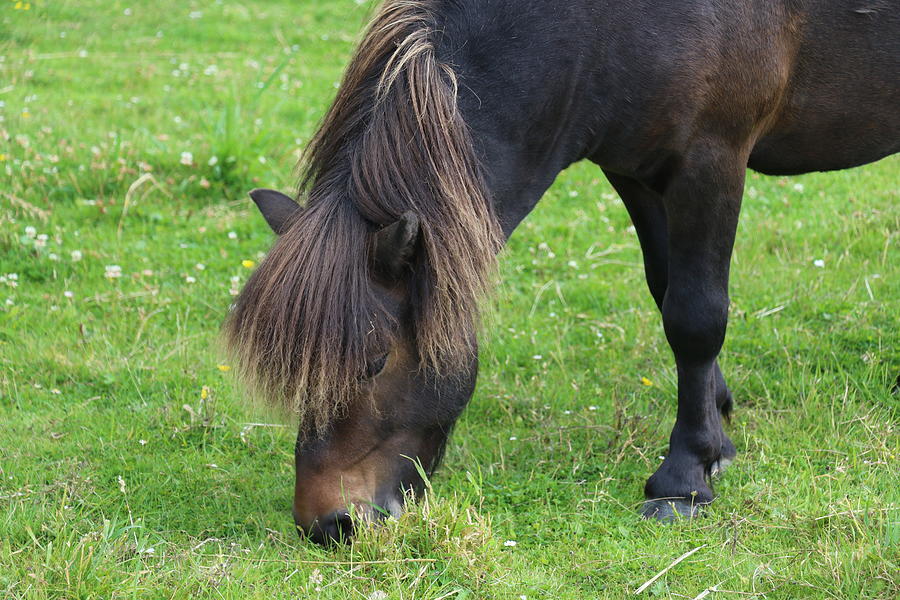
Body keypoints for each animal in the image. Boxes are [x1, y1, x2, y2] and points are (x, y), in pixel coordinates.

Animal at [221, 0, 896, 544]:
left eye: (376, 362)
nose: (326, 523)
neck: (596, 29)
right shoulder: (636, 170)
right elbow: (665, 290)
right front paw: (717, 432)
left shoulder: (711, 160)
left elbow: (695, 317)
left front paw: (684, 478)